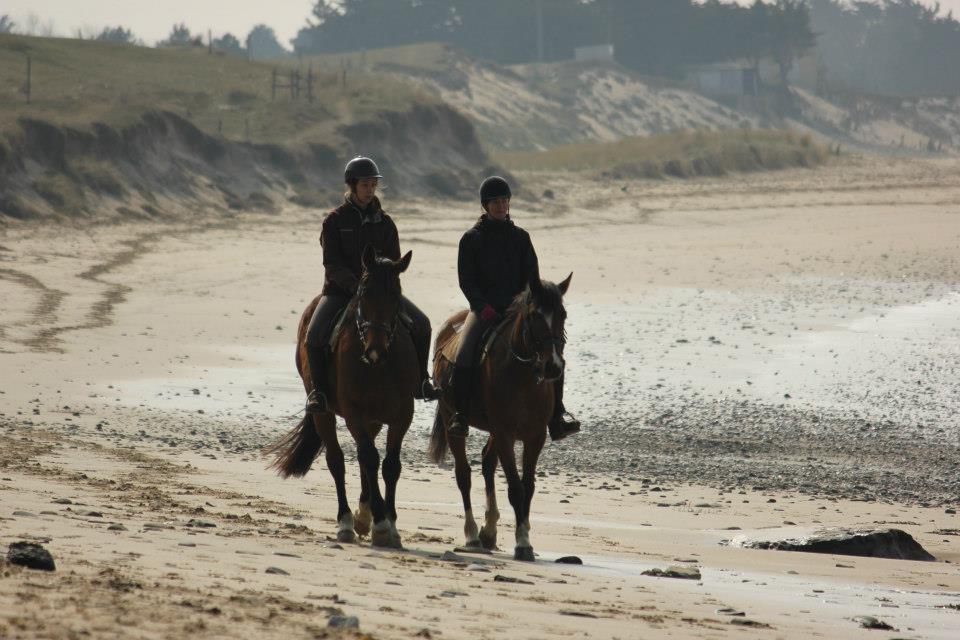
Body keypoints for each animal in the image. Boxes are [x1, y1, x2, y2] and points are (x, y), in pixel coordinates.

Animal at [270, 245, 420, 552]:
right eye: (363, 293)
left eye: (396, 295)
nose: (376, 349)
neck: (377, 366)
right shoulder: (354, 414)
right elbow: (370, 459)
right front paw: (381, 525)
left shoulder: (402, 415)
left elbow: (390, 466)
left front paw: (390, 525)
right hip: (324, 413)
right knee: (337, 461)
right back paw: (348, 522)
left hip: (374, 419)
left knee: (364, 458)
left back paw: (363, 516)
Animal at [428, 270, 568, 560]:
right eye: (534, 316)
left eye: (563, 314)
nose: (553, 367)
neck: (523, 375)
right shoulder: (505, 434)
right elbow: (515, 488)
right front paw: (523, 543)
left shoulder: (534, 436)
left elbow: (528, 487)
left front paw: (524, 534)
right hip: (452, 420)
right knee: (464, 475)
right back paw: (472, 535)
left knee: (487, 462)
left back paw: (489, 531)